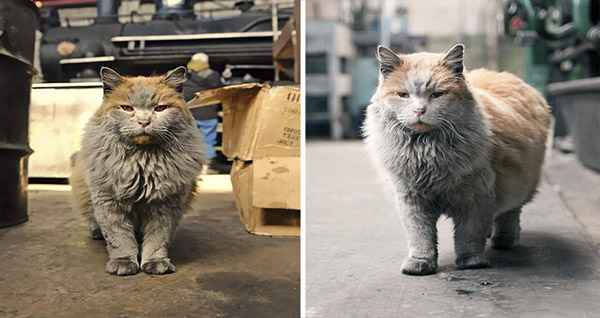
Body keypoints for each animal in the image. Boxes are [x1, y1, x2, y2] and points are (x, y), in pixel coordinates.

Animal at [69, 67, 205, 276]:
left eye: (160, 108)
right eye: (127, 108)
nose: (144, 121)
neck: (142, 162)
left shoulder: (166, 206)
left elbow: (157, 240)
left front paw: (156, 263)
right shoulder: (109, 203)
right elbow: (120, 239)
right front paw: (124, 263)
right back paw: (96, 232)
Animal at [364, 44, 552, 276]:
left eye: (437, 94)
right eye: (403, 95)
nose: (419, 110)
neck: (427, 152)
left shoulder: (475, 198)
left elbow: (468, 236)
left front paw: (471, 262)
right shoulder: (411, 200)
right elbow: (421, 237)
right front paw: (420, 263)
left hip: (520, 187)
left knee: (509, 214)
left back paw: (504, 240)